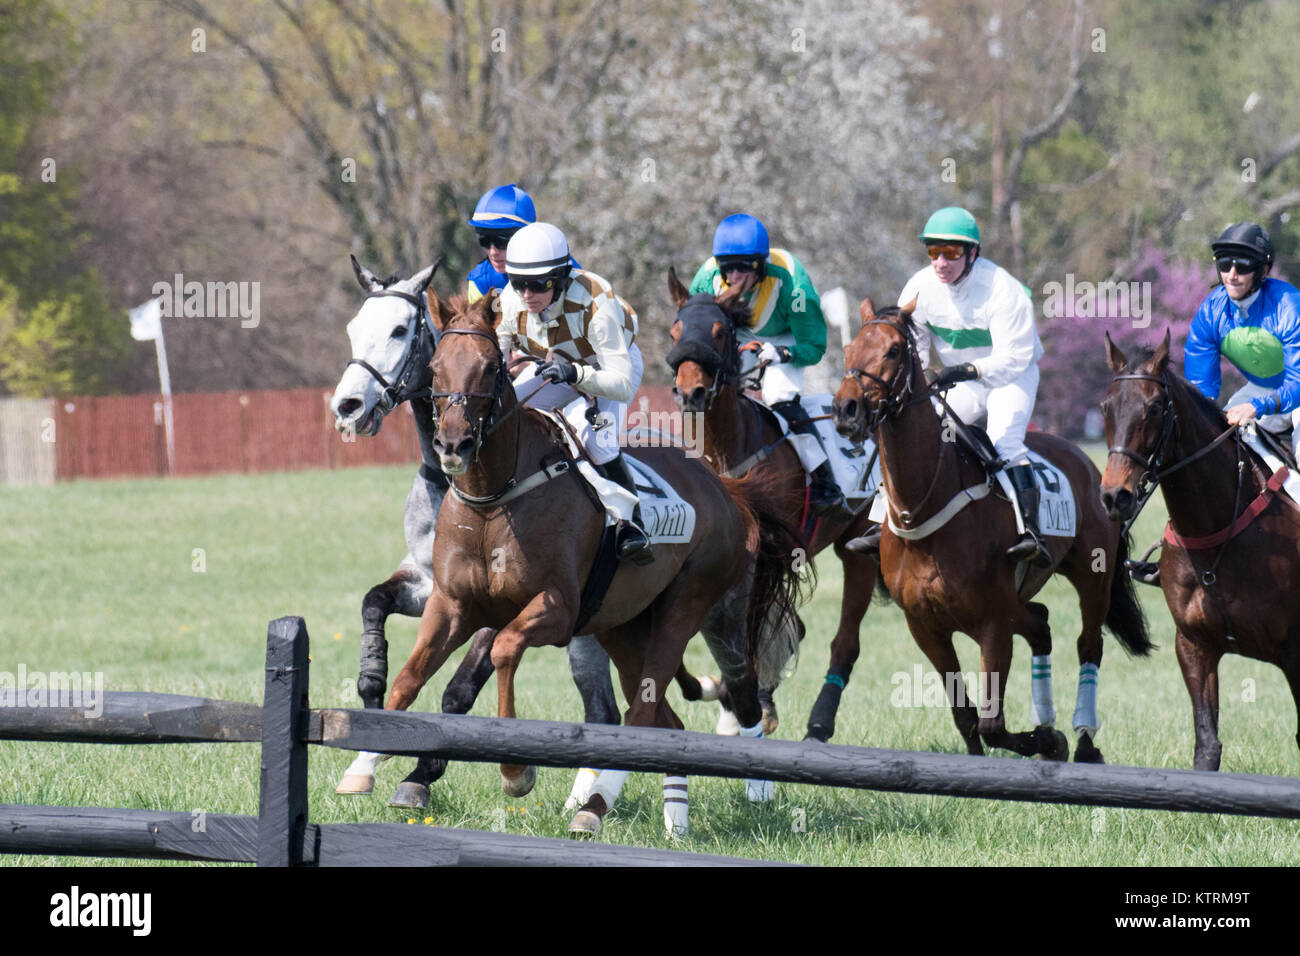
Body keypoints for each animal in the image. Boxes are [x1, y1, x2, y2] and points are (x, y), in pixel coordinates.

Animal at [384, 287, 806, 832]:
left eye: (491, 367)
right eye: (435, 367)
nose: (453, 443)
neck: (495, 497)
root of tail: (726, 488)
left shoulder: (555, 608)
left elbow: (504, 651)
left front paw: (515, 772)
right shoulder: (452, 604)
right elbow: (407, 680)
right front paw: (368, 770)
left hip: (698, 608)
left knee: (670, 706)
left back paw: (606, 805)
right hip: (622, 625)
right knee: (662, 718)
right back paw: (673, 819)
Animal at [670, 265, 883, 743]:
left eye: (720, 331)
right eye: (676, 331)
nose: (691, 393)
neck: (731, 450)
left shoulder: (770, 555)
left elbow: (757, 632)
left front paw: (747, 704)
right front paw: (716, 692)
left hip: (857, 547)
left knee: (841, 639)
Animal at [832, 303, 1149, 759]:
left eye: (892, 350)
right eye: (848, 349)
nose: (846, 409)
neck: (928, 502)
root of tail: (1089, 464)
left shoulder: (994, 623)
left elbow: (991, 724)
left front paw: (1050, 741)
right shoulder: (925, 626)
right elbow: (965, 716)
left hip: (1093, 577)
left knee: (1088, 644)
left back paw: (1084, 742)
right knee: (1041, 624)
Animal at [1097, 332, 1300, 775]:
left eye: (1155, 408)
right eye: (1105, 406)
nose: (1115, 496)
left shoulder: (1295, 651)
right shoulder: (1194, 645)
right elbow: (1207, 745)